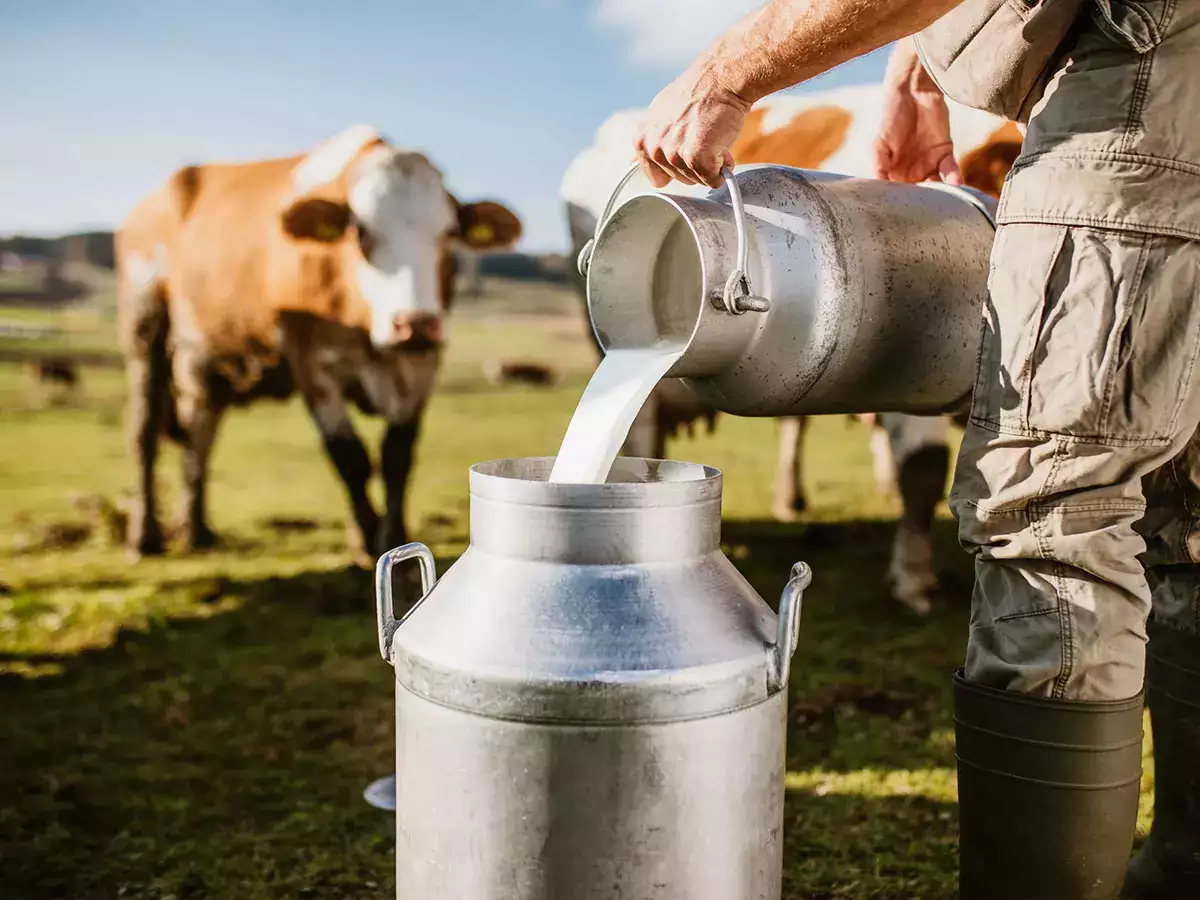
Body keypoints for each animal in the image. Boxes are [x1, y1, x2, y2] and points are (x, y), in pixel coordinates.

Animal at [115, 127, 520, 561]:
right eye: (361, 231)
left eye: (447, 234)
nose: (414, 323)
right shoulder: (312, 365)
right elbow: (350, 456)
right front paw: (366, 539)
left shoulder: (422, 367)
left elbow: (397, 456)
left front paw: (394, 536)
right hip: (145, 327)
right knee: (143, 432)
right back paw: (145, 536)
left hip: (205, 361)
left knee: (200, 434)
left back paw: (196, 529)